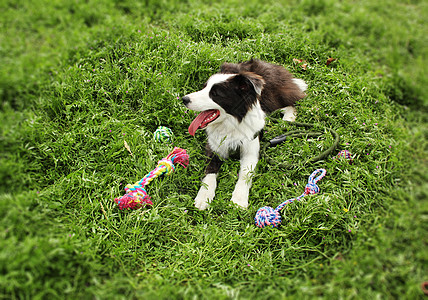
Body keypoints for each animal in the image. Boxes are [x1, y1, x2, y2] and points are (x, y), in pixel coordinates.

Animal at [181, 58, 308, 209]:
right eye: (204, 87)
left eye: (215, 94)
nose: (184, 99)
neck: (232, 124)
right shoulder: (215, 147)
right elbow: (209, 172)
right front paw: (204, 196)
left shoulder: (251, 150)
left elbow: (245, 174)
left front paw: (239, 199)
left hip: (272, 97)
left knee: (293, 102)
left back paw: (288, 119)